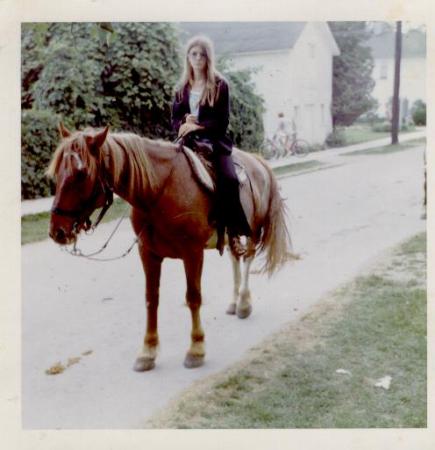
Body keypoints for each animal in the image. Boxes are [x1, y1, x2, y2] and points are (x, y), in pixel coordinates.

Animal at [47, 125, 292, 370]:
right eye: (57, 171)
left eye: (81, 174)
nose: (57, 231)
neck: (159, 191)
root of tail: (258, 161)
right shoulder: (148, 253)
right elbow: (151, 299)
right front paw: (147, 351)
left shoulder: (192, 253)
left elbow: (193, 298)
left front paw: (196, 349)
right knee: (235, 259)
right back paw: (234, 302)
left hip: (252, 230)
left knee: (248, 258)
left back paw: (243, 303)